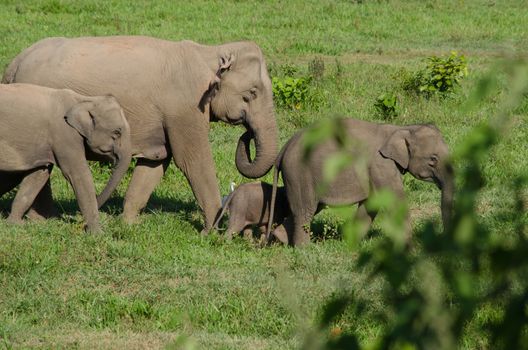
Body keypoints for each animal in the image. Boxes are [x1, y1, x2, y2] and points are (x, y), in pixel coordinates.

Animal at [0, 83, 131, 232]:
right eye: (117, 132)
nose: (77, 218)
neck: (84, 100)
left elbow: (39, 175)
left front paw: (15, 224)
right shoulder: (65, 135)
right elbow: (78, 174)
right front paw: (98, 233)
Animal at [268, 117, 454, 246]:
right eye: (433, 159)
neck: (401, 128)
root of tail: (284, 149)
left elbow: (371, 203)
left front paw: (350, 243)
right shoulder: (381, 165)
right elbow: (393, 202)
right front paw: (411, 249)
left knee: (308, 209)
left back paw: (281, 239)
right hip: (299, 174)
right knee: (305, 211)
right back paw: (304, 249)